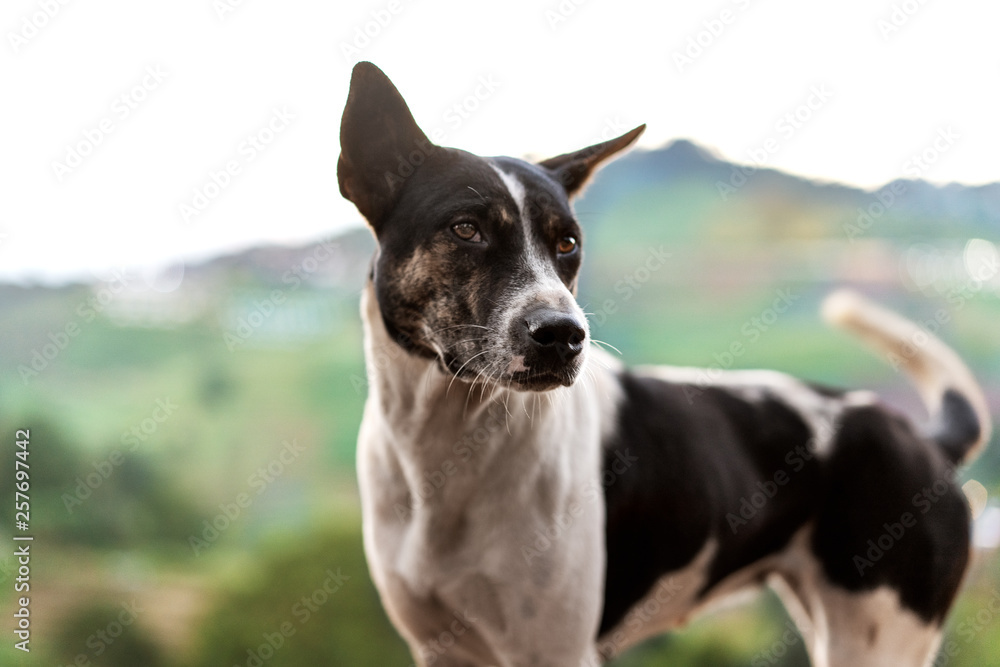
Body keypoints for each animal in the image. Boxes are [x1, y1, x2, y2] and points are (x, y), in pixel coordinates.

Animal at [338, 60, 992, 664]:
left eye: (568, 243)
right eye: (465, 229)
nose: (565, 336)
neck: (449, 444)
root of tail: (925, 441)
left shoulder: (556, 651)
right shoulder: (441, 649)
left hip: (880, 633)